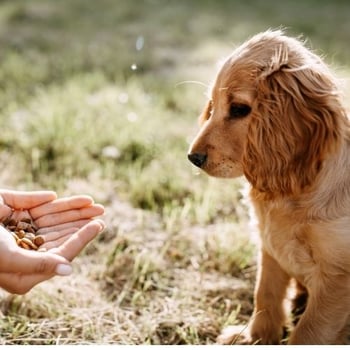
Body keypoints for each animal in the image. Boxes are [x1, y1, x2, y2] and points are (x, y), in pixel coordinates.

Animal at [187, 29, 350, 344]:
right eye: (212, 107)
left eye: (239, 109)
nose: (193, 158)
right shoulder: (270, 245)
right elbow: (265, 294)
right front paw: (254, 337)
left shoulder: (337, 278)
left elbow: (309, 332)